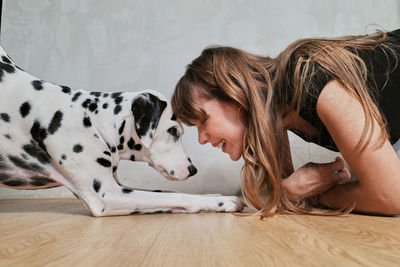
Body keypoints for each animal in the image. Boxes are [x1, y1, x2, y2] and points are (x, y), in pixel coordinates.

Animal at [0, 46, 244, 217]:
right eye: (174, 131)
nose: (193, 170)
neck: (93, 120)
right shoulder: (109, 195)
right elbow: (178, 196)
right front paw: (222, 201)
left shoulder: (119, 187)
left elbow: (169, 194)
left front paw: (214, 195)